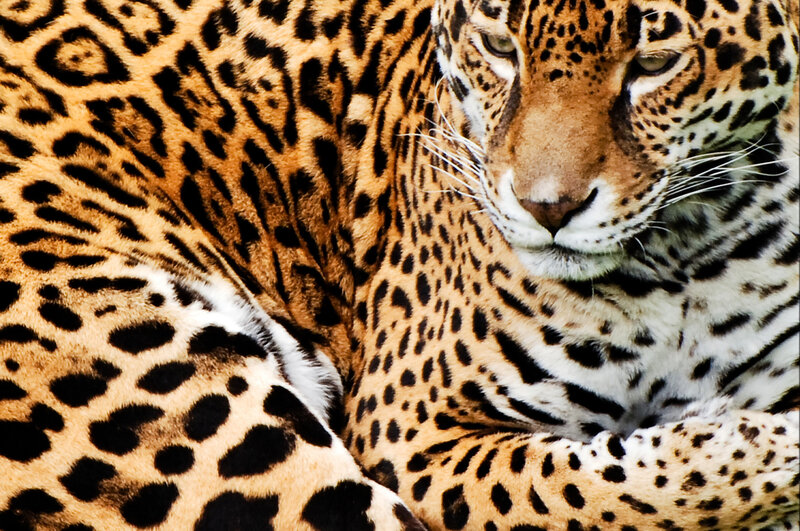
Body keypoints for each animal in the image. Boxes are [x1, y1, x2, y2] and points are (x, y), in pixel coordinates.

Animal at [0, 0, 797, 526]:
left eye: (655, 64)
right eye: (498, 47)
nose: (546, 208)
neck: (689, 255)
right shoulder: (414, 430)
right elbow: (606, 492)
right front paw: (758, 440)